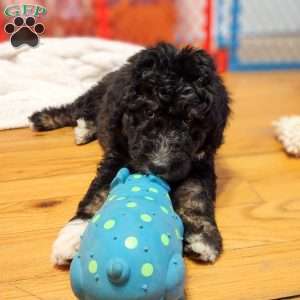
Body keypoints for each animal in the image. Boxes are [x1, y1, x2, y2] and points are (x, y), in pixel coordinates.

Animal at [29, 41, 230, 264]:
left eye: (188, 120)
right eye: (149, 113)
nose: (159, 167)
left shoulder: (199, 161)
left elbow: (195, 194)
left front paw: (202, 236)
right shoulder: (117, 156)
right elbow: (97, 194)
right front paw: (74, 235)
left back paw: (85, 128)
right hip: (93, 97)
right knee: (72, 110)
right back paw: (44, 119)